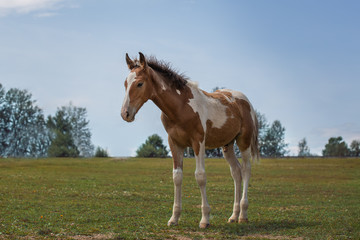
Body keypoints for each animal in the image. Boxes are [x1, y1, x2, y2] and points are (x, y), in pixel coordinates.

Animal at [121, 52, 258, 229]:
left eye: (139, 83)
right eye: (125, 83)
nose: (125, 114)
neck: (181, 107)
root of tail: (245, 100)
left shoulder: (198, 142)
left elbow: (200, 176)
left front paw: (205, 219)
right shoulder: (174, 143)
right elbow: (177, 177)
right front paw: (174, 218)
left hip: (244, 141)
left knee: (246, 169)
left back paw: (243, 215)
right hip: (227, 145)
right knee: (236, 172)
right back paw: (234, 216)